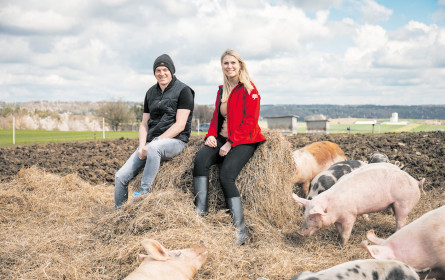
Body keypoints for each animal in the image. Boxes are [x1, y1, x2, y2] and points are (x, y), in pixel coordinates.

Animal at [292, 162, 424, 245]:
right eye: (304, 215)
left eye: (312, 217)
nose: (299, 232)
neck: (333, 207)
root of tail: (415, 181)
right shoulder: (338, 219)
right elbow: (339, 230)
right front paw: (339, 240)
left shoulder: (350, 215)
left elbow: (346, 232)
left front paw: (343, 245)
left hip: (403, 203)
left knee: (400, 222)